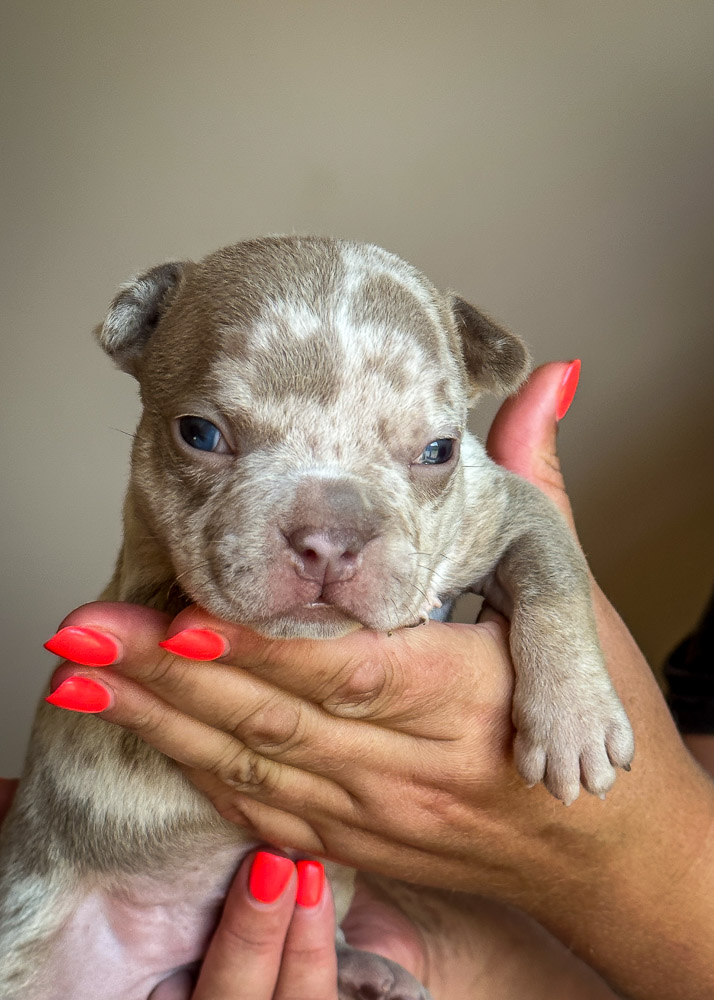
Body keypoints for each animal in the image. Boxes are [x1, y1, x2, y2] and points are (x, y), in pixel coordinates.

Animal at [0, 236, 634, 999]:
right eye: (199, 433)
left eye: (439, 451)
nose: (330, 537)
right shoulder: (145, 575)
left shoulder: (504, 507)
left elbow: (554, 570)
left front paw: (576, 720)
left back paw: (361, 968)